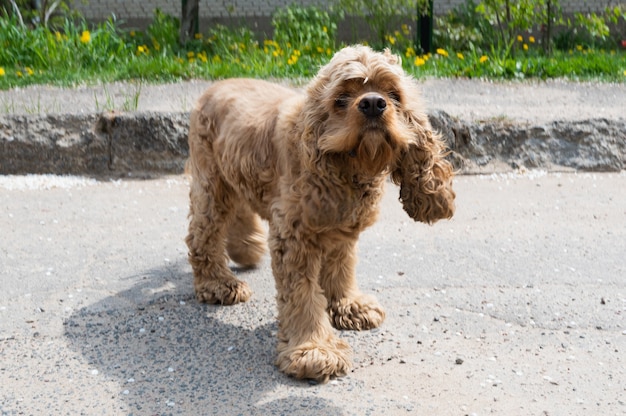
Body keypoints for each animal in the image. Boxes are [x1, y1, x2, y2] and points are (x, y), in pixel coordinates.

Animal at [185, 45, 454, 384]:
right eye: (340, 98)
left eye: (393, 94)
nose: (373, 103)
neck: (348, 168)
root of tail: (215, 85)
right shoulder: (294, 235)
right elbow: (302, 296)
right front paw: (313, 350)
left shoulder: (342, 227)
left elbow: (341, 266)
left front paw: (348, 305)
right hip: (212, 182)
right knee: (202, 234)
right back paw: (219, 284)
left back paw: (247, 248)